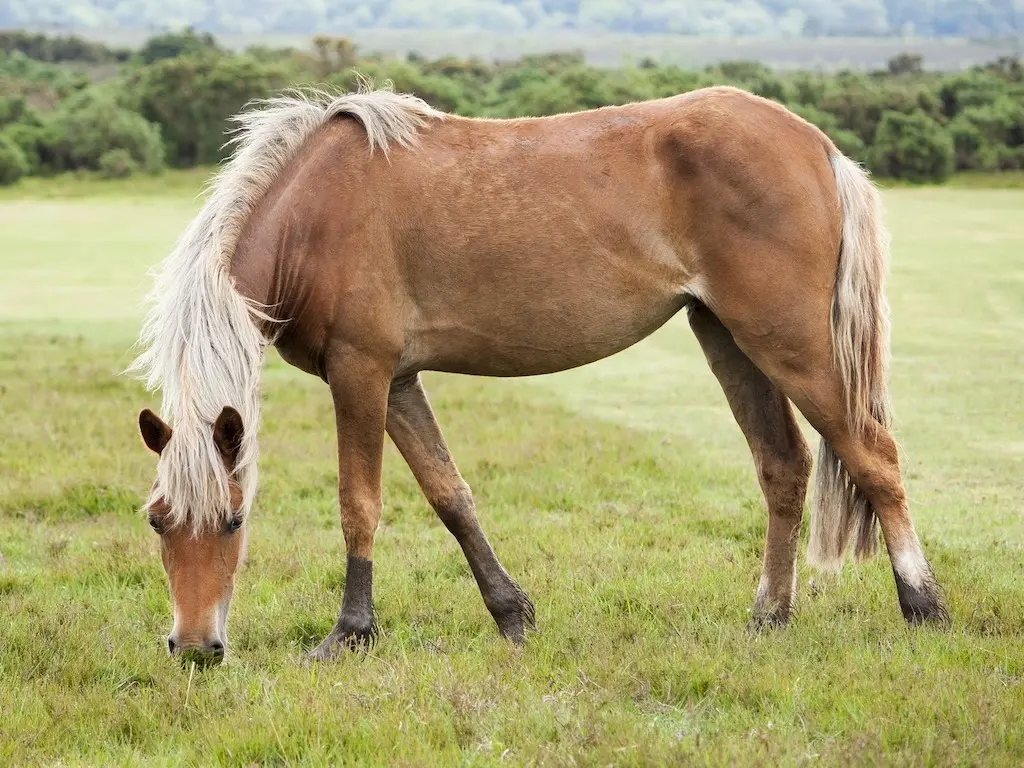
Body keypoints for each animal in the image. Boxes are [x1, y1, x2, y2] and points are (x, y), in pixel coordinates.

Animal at [132, 82, 946, 663]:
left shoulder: (360, 373)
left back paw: (924, 606)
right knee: (784, 466)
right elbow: (451, 497)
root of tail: (816, 145)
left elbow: (359, 504)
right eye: (157, 520)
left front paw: (350, 634)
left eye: (234, 520)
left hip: (792, 346)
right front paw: (511, 614)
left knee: (874, 457)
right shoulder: (399, 382)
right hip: (729, 339)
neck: (314, 214)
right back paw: (769, 617)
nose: (195, 648)